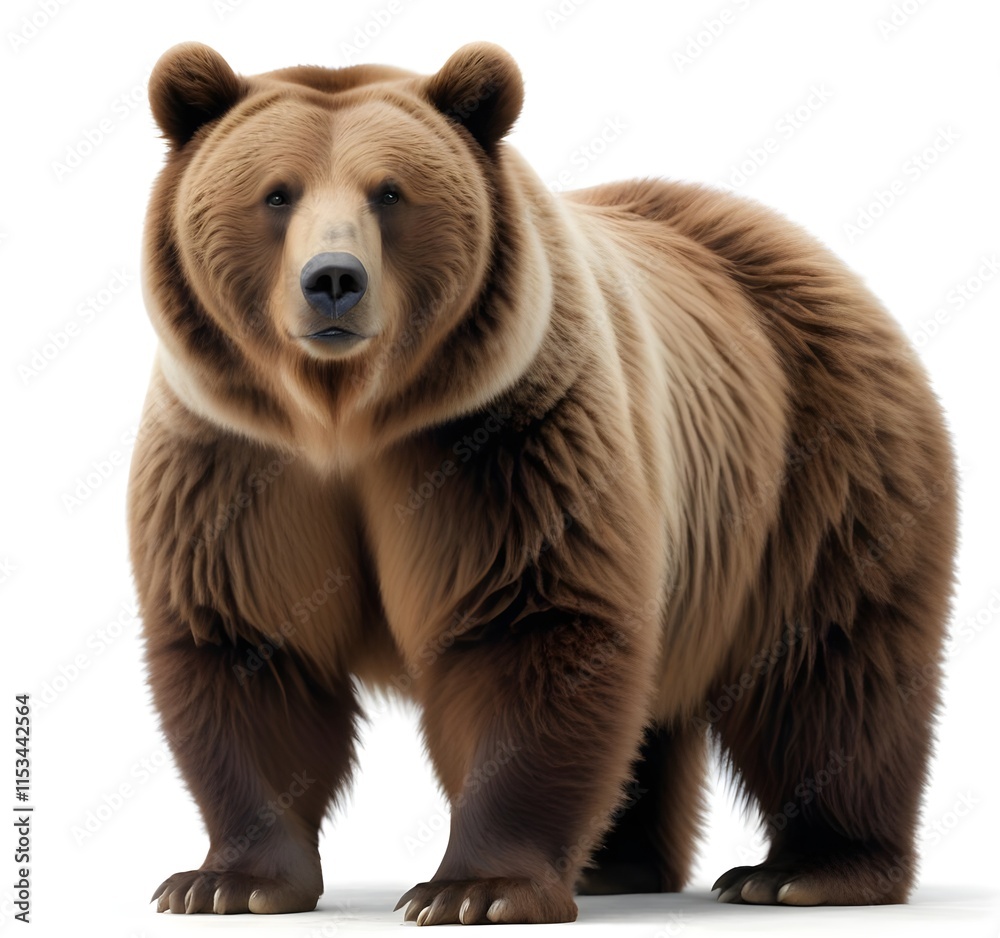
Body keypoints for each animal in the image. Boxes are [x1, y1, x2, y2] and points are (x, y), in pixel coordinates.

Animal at [130, 40, 957, 925]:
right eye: (277, 192)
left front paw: (474, 889)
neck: (347, 418)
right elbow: (246, 643)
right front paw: (224, 882)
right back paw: (616, 865)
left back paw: (806, 871)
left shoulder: (508, 438)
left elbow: (531, 627)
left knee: (830, 666)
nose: (334, 281)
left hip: (818, 462)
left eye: (390, 191)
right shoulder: (236, 461)